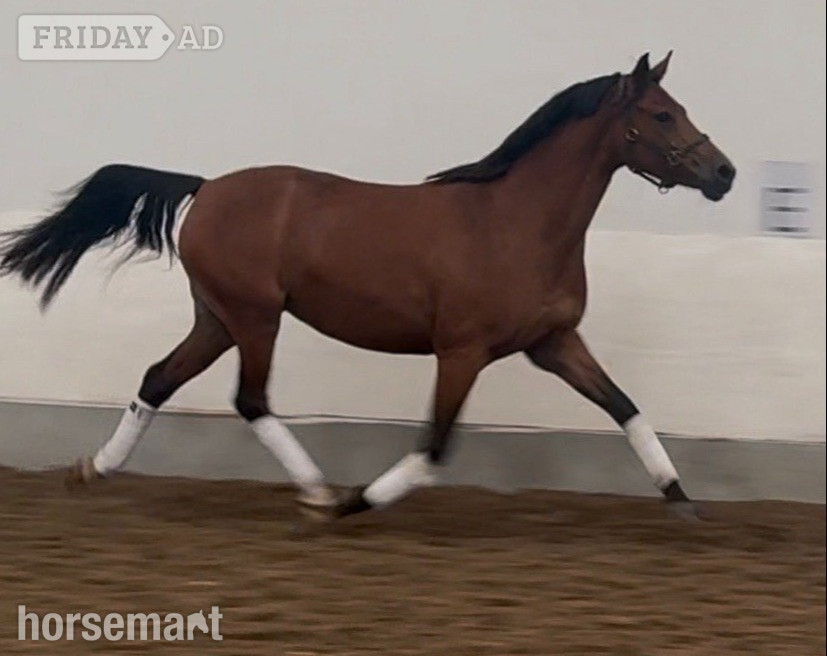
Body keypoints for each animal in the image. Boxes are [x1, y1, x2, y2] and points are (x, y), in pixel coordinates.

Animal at [0, 52, 734, 521]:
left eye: (678, 108)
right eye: (661, 115)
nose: (723, 173)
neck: (516, 222)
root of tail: (205, 188)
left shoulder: (553, 342)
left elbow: (625, 407)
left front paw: (682, 500)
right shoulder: (462, 352)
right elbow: (434, 446)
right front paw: (360, 501)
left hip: (216, 318)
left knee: (158, 379)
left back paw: (94, 469)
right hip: (255, 317)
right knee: (250, 399)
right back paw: (320, 494)